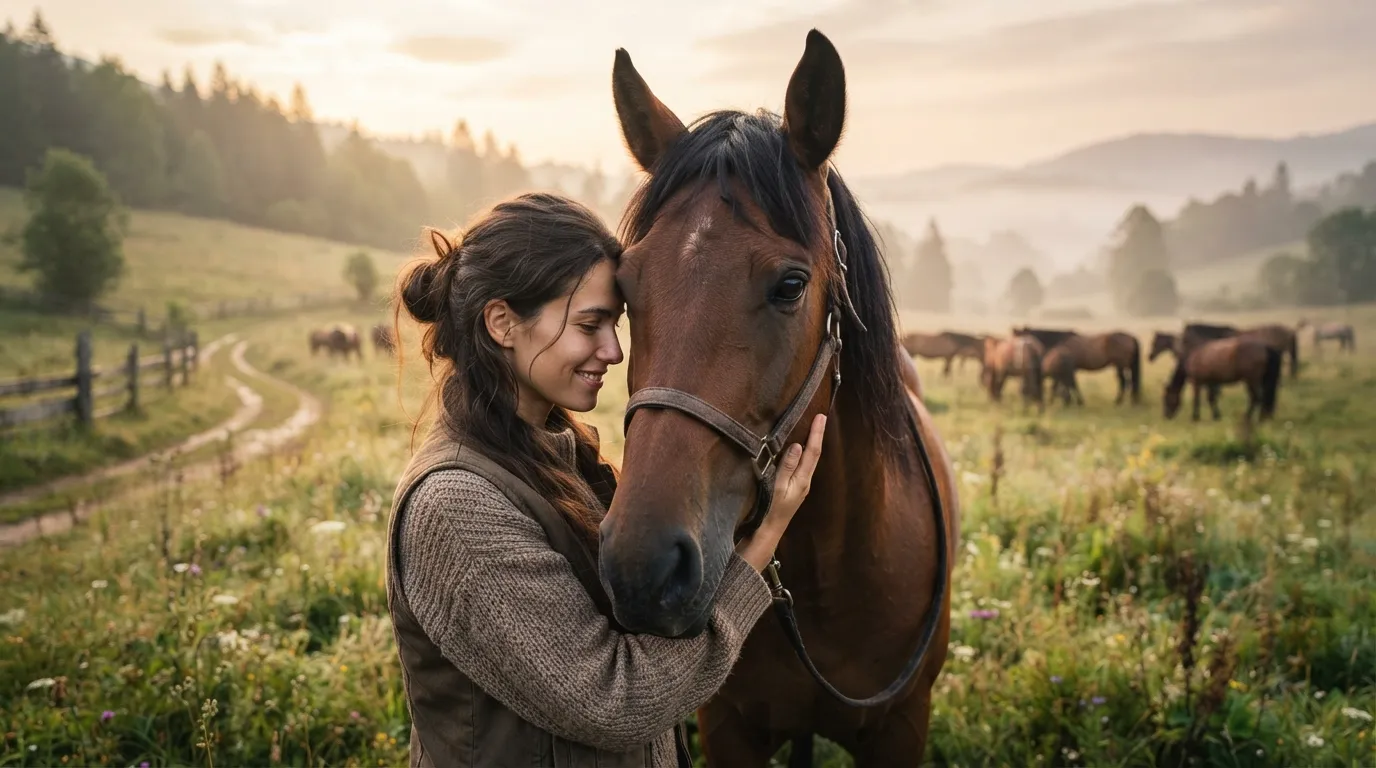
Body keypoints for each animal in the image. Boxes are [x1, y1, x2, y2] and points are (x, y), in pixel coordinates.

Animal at [599, 30, 959, 767]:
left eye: (791, 285)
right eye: (625, 284)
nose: (642, 569)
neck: (828, 582)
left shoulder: (903, 727)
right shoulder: (730, 727)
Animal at [1012, 326, 1142, 405]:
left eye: (1020, 338)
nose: (1016, 357)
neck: (1060, 342)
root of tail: (1131, 337)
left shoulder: (1068, 370)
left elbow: (1068, 385)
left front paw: (1069, 401)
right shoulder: (1069, 370)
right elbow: (1068, 385)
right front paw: (1069, 400)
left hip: (1121, 365)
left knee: (1124, 382)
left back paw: (1119, 401)